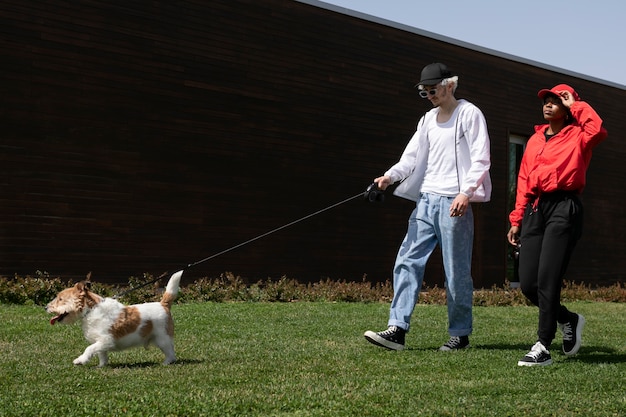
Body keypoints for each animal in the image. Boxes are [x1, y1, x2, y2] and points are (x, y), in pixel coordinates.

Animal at [45, 270, 183, 364]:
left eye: (60, 299)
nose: (45, 307)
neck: (91, 310)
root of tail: (163, 304)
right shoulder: (100, 342)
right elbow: (101, 354)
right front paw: (101, 366)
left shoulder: (106, 340)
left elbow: (89, 348)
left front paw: (80, 360)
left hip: (162, 338)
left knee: (171, 354)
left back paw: (165, 363)